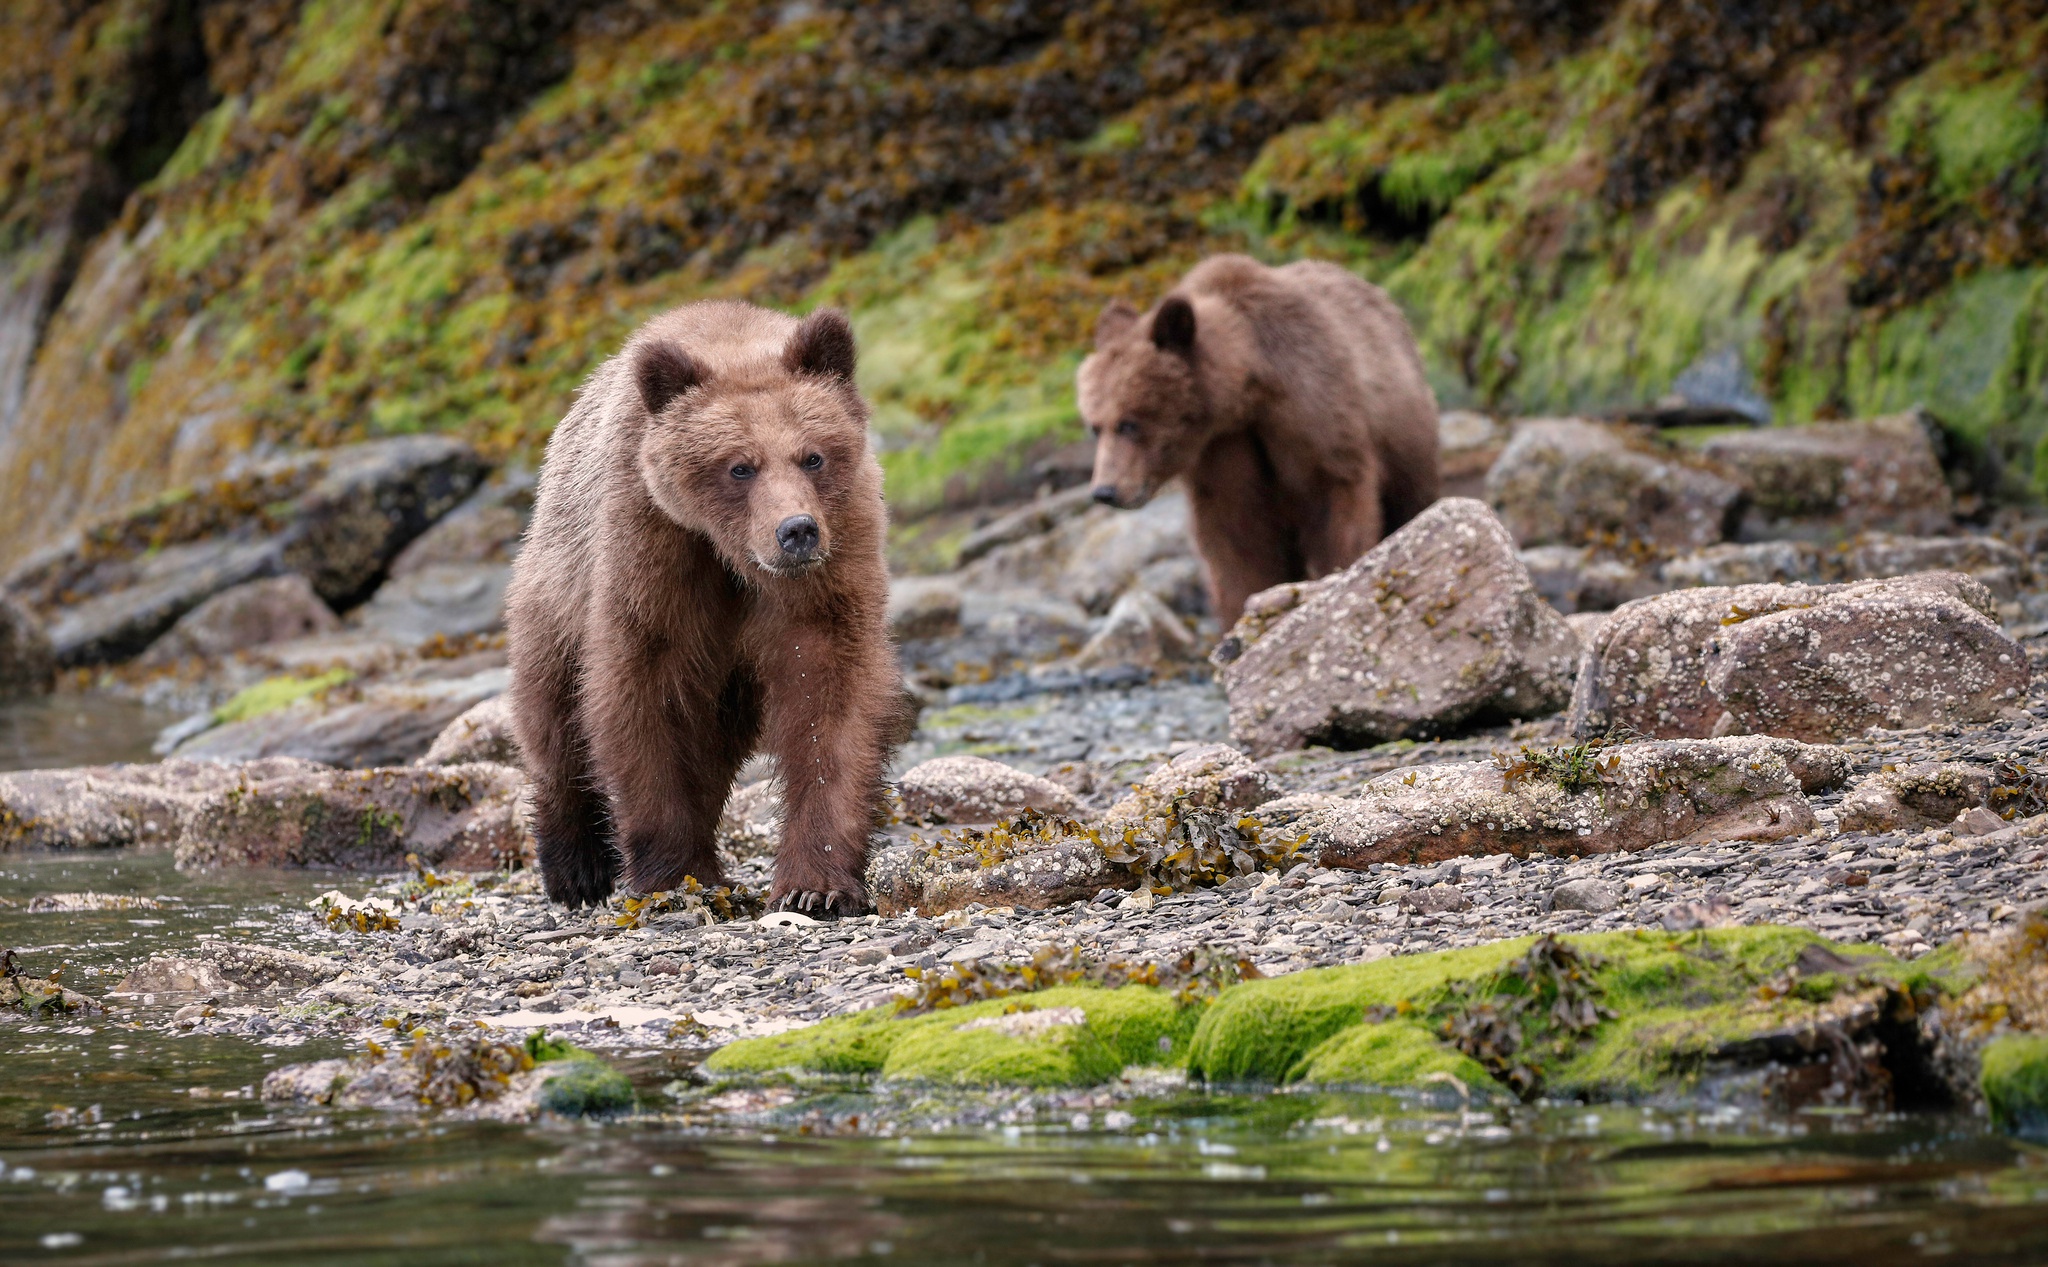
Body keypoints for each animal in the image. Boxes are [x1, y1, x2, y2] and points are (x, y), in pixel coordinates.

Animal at [501, 300, 897, 912]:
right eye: (740, 466)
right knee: (552, 718)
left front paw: (815, 886)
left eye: (813, 457)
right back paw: (575, 868)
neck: (734, 559)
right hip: (555, 582)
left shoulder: (833, 563)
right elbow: (644, 693)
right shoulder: (654, 549)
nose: (797, 531)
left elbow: (833, 700)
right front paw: (678, 874)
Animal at [1073, 253, 1441, 630]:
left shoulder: (1313, 411)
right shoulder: (1221, 452)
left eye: (1129, 423)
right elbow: (1239, 540)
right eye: (1094, 426)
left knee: (1410, 495)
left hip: (1403, 426)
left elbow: (1338, 498)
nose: (1106, 491)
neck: (1247, 391)